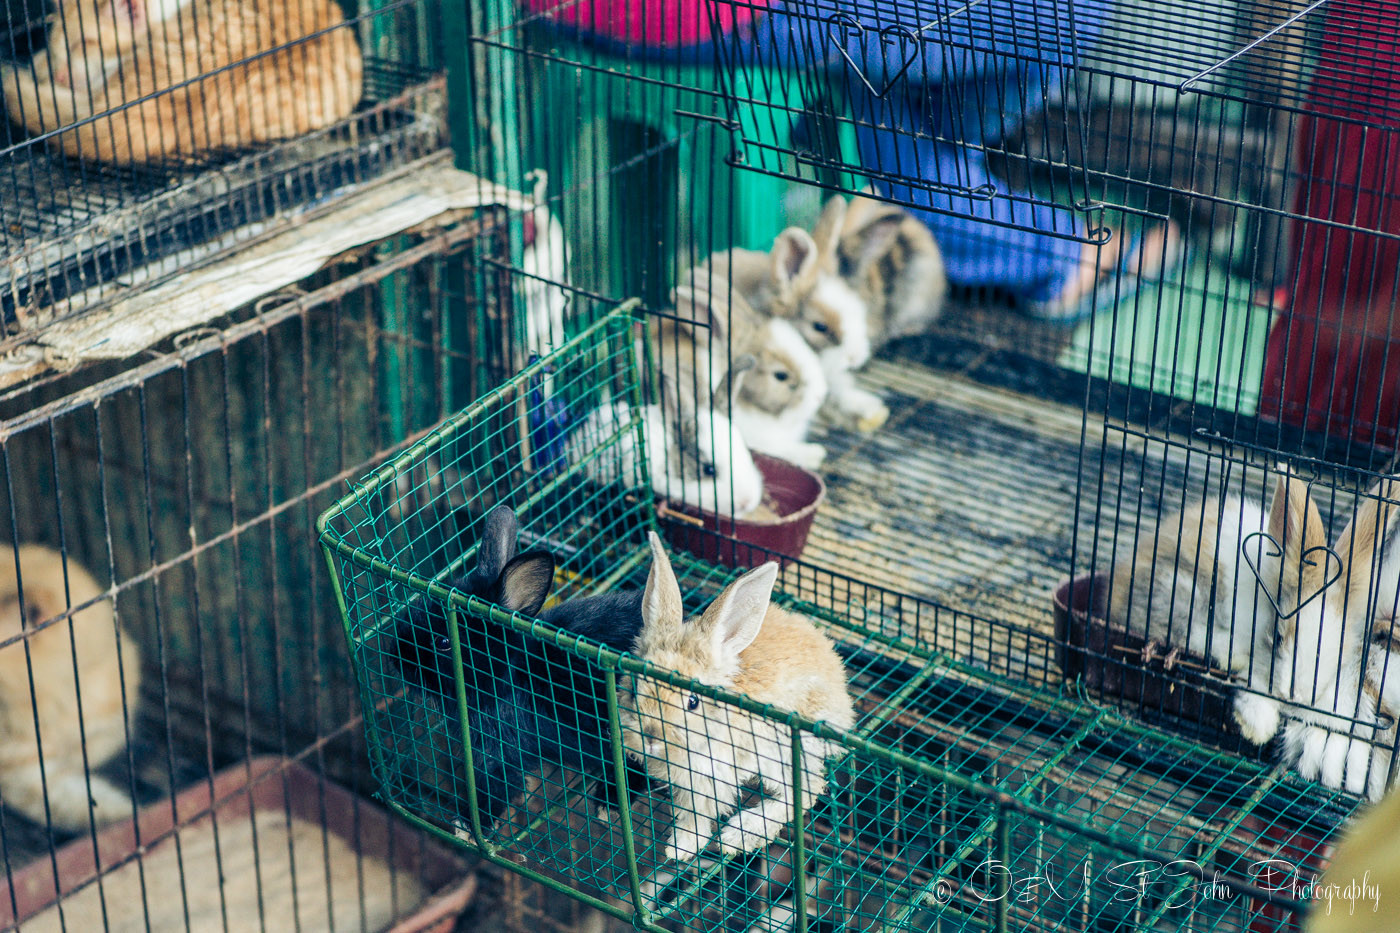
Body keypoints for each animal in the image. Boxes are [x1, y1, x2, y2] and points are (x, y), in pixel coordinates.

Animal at [621, 529, 851, 857]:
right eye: (634, 689)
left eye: (693, 702)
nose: (651, 737)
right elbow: (691, 814)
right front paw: (680, 848)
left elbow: (704, 810)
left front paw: (683, 849)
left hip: (781, 745)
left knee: (804, 790)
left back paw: (739, 835)